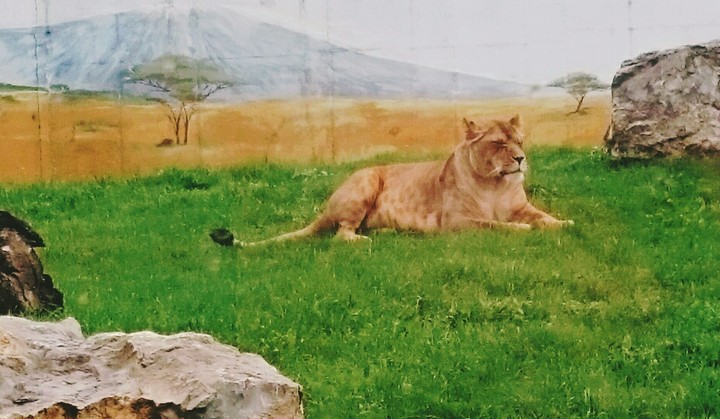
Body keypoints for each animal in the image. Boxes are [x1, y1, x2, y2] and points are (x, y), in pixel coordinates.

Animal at [210, 115, 572, 247]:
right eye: (499, 144)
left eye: (520, 142)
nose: (520, 159)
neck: (495, 184)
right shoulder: (456, 222)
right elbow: (495, 225)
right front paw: (521, 229)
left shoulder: (521, 206)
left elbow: (543, 217)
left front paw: (564, 223)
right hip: (366, 182)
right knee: (341, 234)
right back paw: (361, 240)